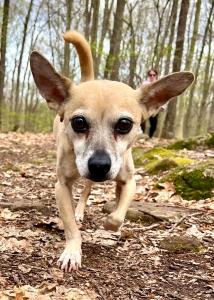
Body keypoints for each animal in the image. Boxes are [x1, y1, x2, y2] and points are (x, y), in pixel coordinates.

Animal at [29, 29, 195, 272]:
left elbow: (118, 215)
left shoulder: (129, 181)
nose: (99, 165)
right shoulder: (61, 186)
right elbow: (70, 226)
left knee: (87, 191)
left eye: (125, 124)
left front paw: (110, 224)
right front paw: (72, 251)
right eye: (78, 122)